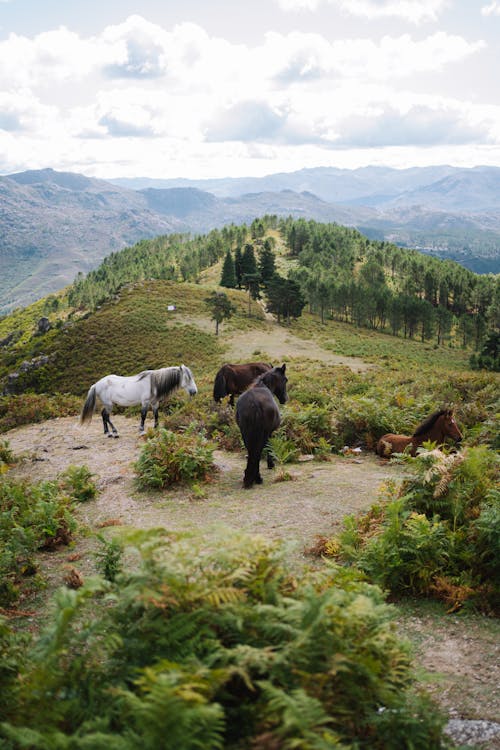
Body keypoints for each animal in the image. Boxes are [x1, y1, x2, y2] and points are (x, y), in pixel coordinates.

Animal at [235, 366, 288, 494]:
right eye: (285, 380)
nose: (285, 399)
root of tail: (254, 403)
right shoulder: (270, 433)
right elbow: (269, 448)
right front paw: (271, 464)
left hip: (245, 433)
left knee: (252, 452)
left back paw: (249, 477)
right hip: (262, 434)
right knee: (257, 452)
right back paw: (257, 478)